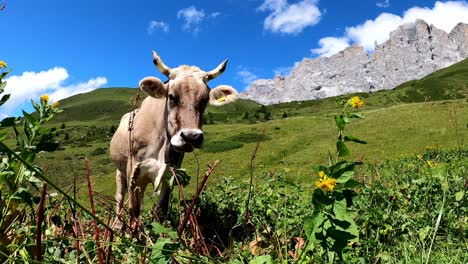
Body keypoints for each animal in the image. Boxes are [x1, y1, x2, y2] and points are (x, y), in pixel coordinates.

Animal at [109, 50, 238, 224]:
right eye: (171, 96)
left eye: (205, 100)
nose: (191, 137)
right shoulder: (134, 173)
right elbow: (134, 212)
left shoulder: (171, 174)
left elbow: (160, 211)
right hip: (120, 170)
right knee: (119, 197)